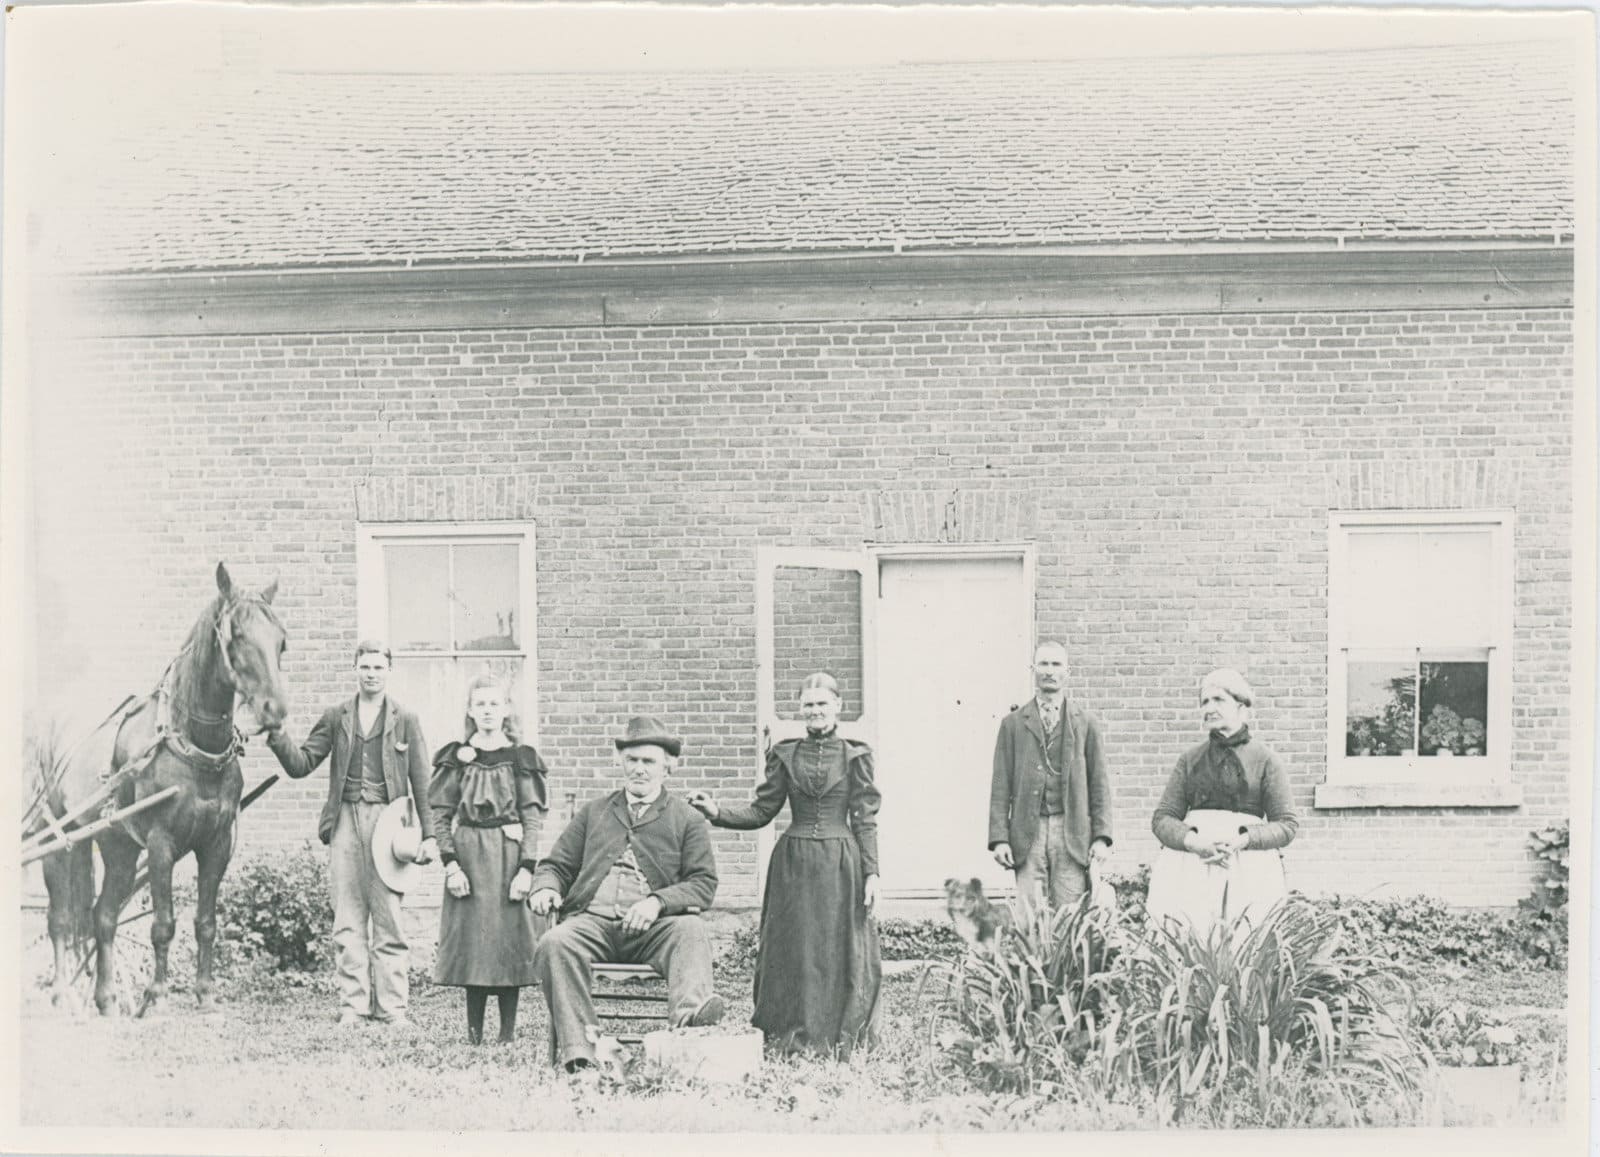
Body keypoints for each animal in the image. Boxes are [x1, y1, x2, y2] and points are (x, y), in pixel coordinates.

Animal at [33, 563, 291, 1011]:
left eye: (281, 641)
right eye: (238, 634)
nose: (274, 710)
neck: (192, 747)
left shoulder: (217, 844)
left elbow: (205, 922)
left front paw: (205, 994)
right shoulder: (160, 843)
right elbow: (163, 924)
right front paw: (155, 995)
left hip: (116, 845)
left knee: (103, 915)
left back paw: (105, 999)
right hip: (58, 836)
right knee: (60, 917)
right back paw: (63, 991)